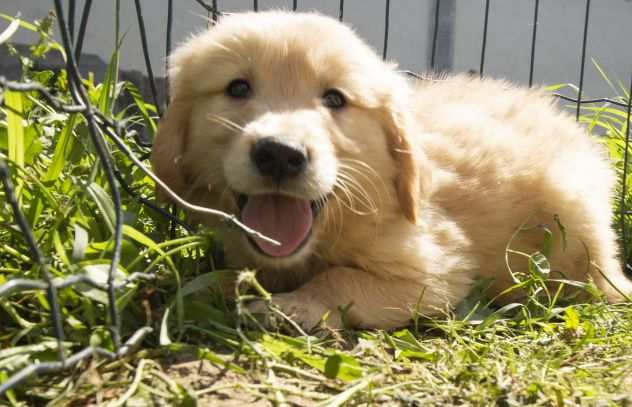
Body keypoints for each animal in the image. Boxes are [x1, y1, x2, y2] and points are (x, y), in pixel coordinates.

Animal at [153, 11, 632, 330]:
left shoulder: (434, 271)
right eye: (237, 88)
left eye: (335, 98)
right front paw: (217, 285)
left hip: (575, 230)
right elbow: (240, 273)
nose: (280, 154)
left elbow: (340, 278)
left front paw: (292, 306)